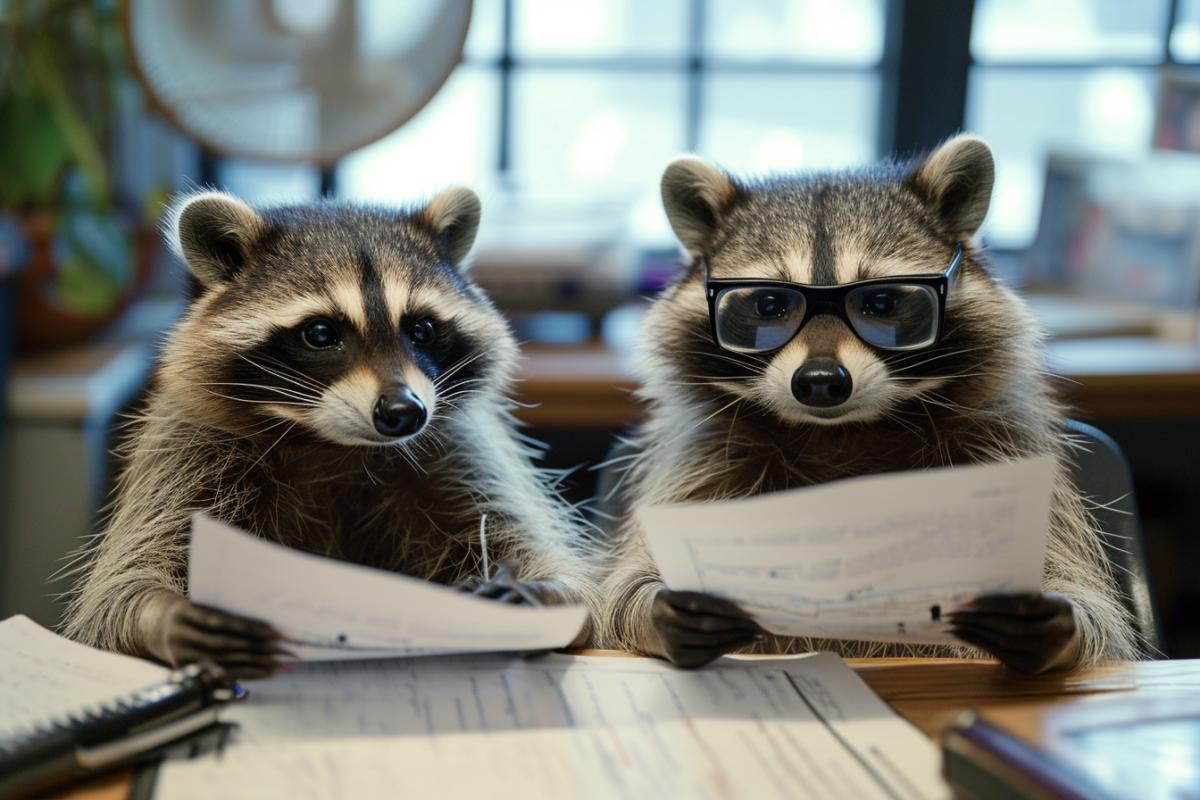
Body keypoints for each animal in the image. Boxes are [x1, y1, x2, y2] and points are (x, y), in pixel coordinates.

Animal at [61, 188, 599, 677]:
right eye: (320, 334)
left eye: (422, 329)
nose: (404, 411)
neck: (336, 444)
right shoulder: (186, 450)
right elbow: (121, 586)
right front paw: (164, 612)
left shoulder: (461, 451)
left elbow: (554, 567)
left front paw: (545, 592)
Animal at [597, 135, 1139, 673]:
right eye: (769, 306)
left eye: (881, 304)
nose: (819, 381)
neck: (840, 432)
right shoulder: (701, 461)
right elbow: (624, 591)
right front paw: (660, 607)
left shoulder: (1005, 447)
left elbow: (1085, 599)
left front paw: (1054, 622)